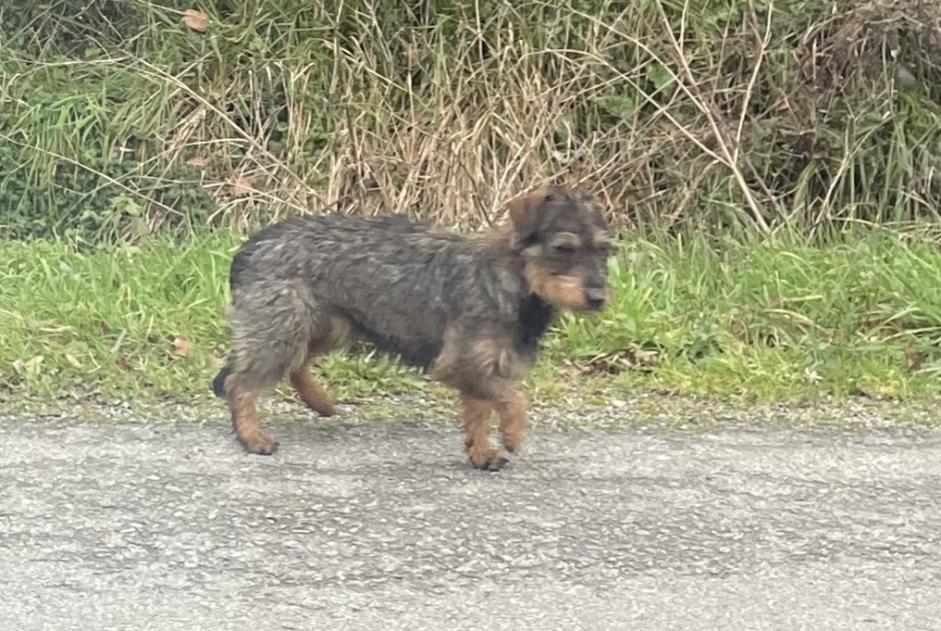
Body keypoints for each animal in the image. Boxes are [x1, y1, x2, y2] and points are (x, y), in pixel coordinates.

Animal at [212, 190, 608, 472]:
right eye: (563, 247)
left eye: (606, 249)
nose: (598, 297)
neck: (513, 279)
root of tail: (249, 247)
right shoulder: (462, 363)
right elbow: (512, 398)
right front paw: (512, 433)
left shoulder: (483, 367)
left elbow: (480, 411)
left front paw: (481, 452)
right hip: (282, 331)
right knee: (239, 384)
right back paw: (252, 436)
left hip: (328, 327)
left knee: (296, 365)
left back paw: (320, 401)